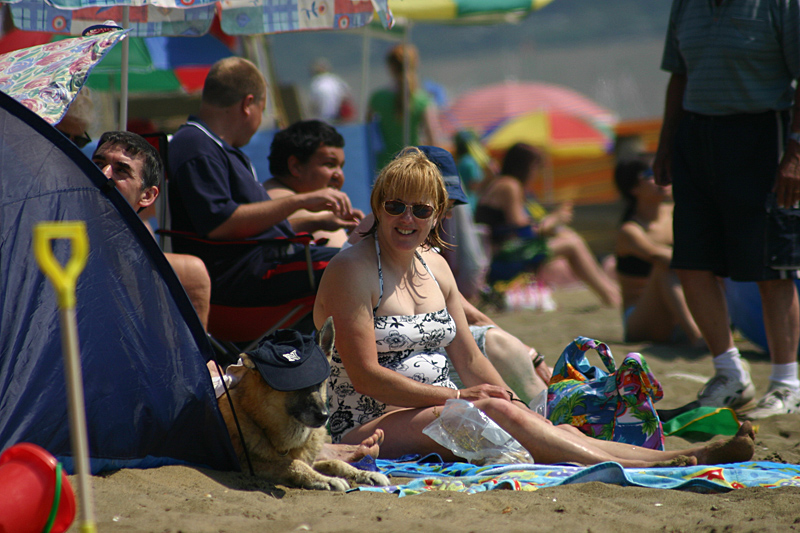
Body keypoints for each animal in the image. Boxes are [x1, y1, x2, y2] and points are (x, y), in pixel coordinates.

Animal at [217, 316, 392, 490]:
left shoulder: (313, 460)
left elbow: (336, 463)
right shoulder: (248, 464)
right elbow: (295, 464)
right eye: (295, 386)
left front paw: (365, 474)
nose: (324, 416)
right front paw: (327, 480)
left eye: (320, 383)